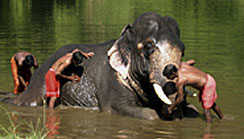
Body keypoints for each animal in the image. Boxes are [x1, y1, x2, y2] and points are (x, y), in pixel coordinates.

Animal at [2, 12, 199, 120]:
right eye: (149, 47)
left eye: (183, 50)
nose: (171, 69)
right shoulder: (110, 80)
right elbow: (127, 110)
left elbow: (194, 111)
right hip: (42, 81)